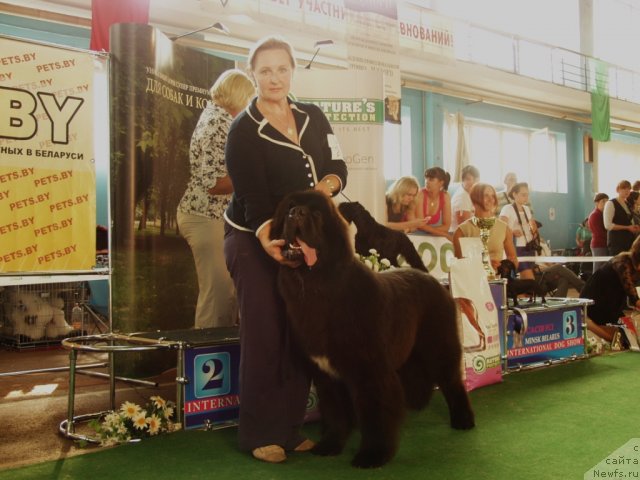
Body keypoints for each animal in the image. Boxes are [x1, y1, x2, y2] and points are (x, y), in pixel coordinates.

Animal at [270, 191, 476, 468]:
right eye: (289, 208)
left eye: (316, 213)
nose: (296, 213)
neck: (318, 285)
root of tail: (431, 278)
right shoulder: (326, 375)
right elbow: (335, 412)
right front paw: (330, 445)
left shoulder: (369, 370)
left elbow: (375, 411)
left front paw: (373, 454)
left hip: (438, 345)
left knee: (452, 381)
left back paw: (463, 420)